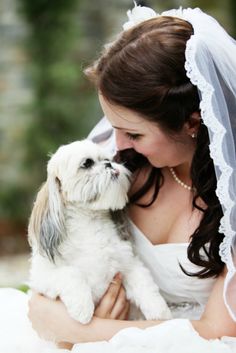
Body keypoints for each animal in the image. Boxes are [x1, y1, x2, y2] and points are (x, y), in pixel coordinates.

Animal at [28, 139, 171, 324]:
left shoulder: (129, 264)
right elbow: (71, 273)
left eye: (107, 159)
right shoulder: (42, 277)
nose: (109, 164)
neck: (91, 222)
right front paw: (82, 308)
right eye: (87, 163)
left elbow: (144, 284)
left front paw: (161, 313)